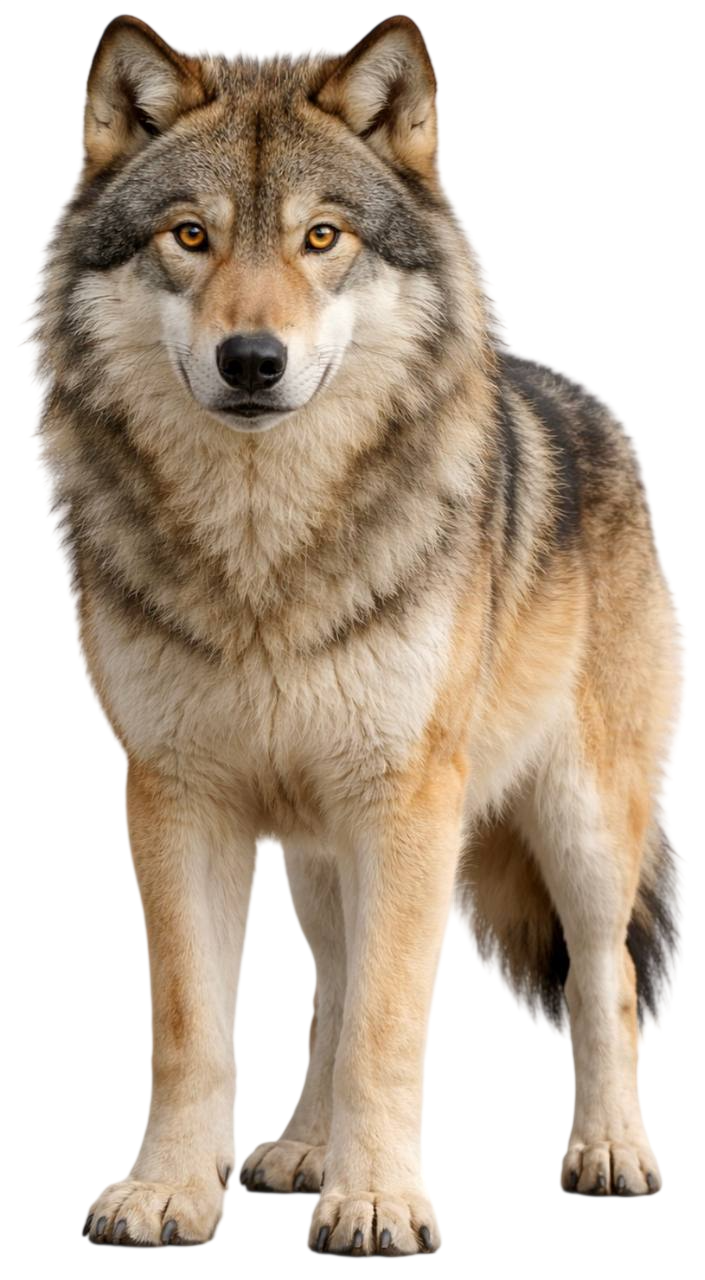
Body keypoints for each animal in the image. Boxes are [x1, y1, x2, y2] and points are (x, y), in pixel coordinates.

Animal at [27, 13, 686, 1253]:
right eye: (191, 236)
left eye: (321, 236)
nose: (251, 359)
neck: (263, 557)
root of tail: (586, 399)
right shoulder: (173, 798)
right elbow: (198, 1028)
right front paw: (172, 1189)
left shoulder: (410, 803)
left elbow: (391, 1028)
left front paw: (377, 1201)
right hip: (321, 851)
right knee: (330, 988)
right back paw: (298, 1149)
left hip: (579, 825)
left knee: (606, 982)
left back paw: (611, 1149)